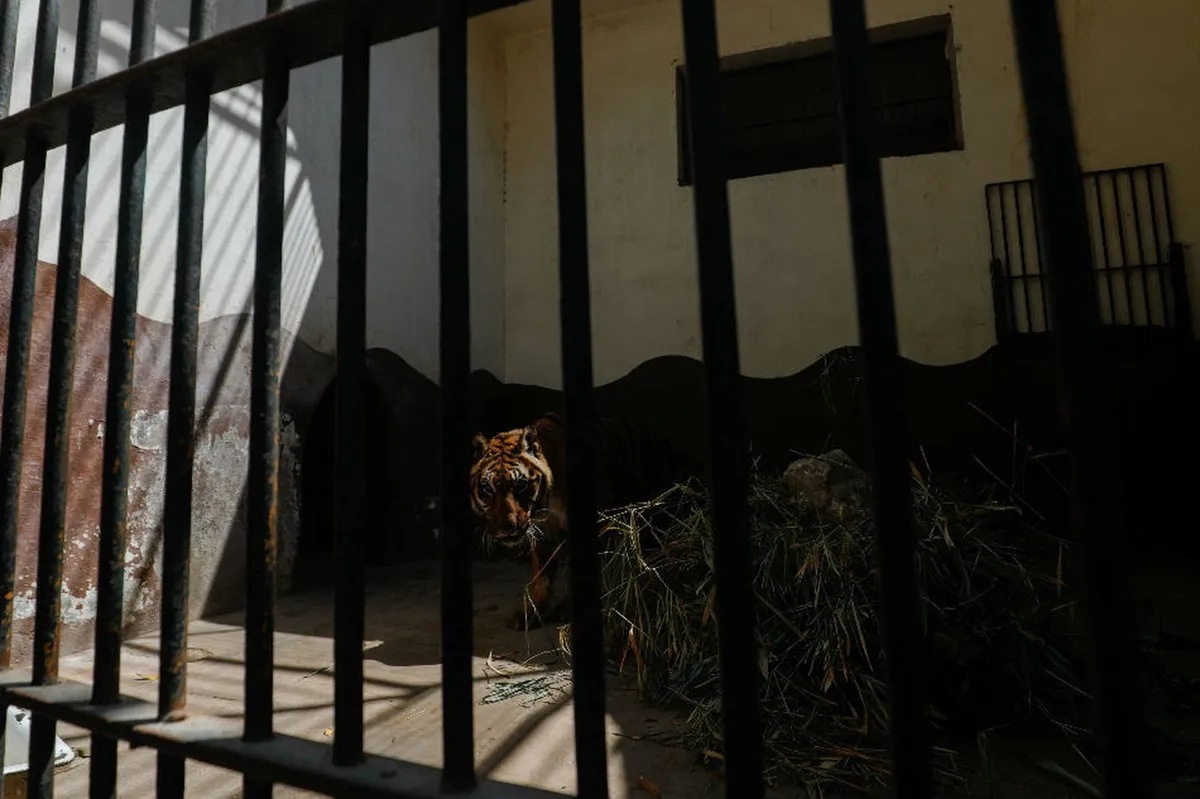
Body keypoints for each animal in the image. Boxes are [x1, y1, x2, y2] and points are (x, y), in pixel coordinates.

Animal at [469, 411, 698, 631]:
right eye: (487, 488)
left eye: (520, 485)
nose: (507, 528)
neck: (547, 504)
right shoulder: (543, 535)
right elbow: (540, 577)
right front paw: (531, 614)